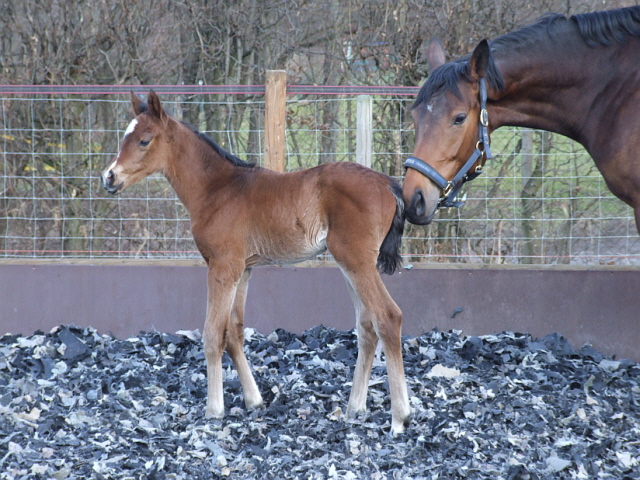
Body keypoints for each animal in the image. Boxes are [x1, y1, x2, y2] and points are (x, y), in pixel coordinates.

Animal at [100, 90, 410, 436]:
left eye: (144, 140)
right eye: (125, 137)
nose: (109, 177)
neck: (217, 189)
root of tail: (388, 185)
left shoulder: (222, 266)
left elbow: (212, 334)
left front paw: (214, 409)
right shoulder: (244, 268)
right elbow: (234, 332)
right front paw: (254, 401)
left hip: (356, 261)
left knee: (387, 317)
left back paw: (400, 418)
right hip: (349, 264)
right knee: (367, 325)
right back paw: (355, 408)